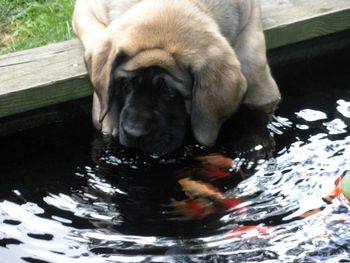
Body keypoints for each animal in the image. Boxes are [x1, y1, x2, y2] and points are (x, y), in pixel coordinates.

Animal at [72, 0, 280, 156]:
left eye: (169, 92)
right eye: (127, 84)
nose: (135, 133)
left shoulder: (251, 16)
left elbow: (255, 68)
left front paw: (255, 142)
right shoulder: (85, 9)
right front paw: (107, 117)